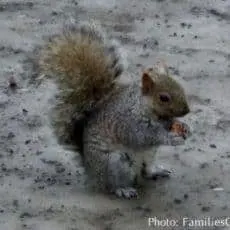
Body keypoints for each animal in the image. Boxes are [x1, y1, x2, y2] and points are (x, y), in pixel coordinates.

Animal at [37, 20, 191, 199]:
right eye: (163, 98)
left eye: (180, 87)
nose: (186, 111)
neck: (145, 109)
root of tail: (91, 172)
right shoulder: (128, 123)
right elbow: (144, 137)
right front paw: (170, 138)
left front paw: (185, 128)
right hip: (116, 162)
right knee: (111, 184)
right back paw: (123, 189)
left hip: (149, 155)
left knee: (145, 170)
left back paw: (156, 171)